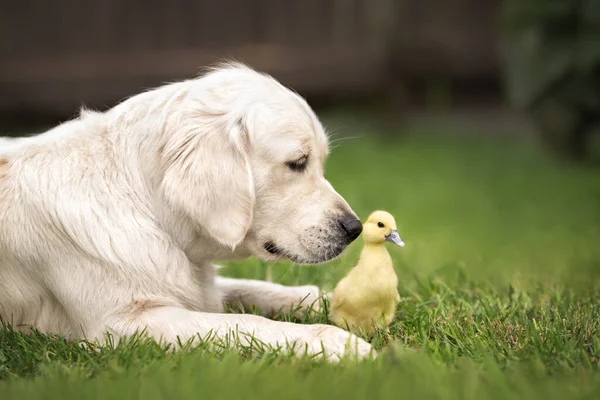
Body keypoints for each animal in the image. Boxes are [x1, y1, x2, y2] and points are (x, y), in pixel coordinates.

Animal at [0, 61, 372, 360]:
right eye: (297, 163)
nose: (355, 229)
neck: (147, 209)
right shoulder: (123, 324)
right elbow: (247, 321)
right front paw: (338, 342)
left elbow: (254, 289)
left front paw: (336, 302)